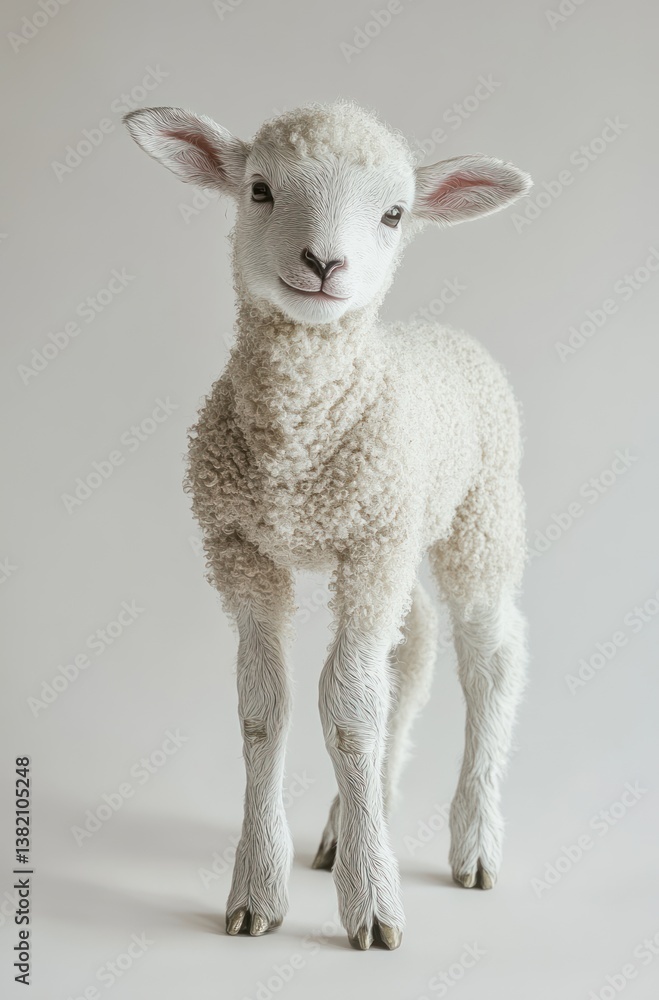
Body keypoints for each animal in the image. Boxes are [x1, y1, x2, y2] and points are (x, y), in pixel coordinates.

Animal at [124, 100, 531, 951]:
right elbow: (265, 710)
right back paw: (351, 822)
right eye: (259, 189)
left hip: (477, 517)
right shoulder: (243, 551)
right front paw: (258, 890)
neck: (301, 436)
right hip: (397, 538)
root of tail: (442, 333)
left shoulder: (369, 545)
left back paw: (474, 843)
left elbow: (346, 712)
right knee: (410, 648)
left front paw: (371, 905)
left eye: (394, 214)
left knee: (489, 656)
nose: (324, 263)